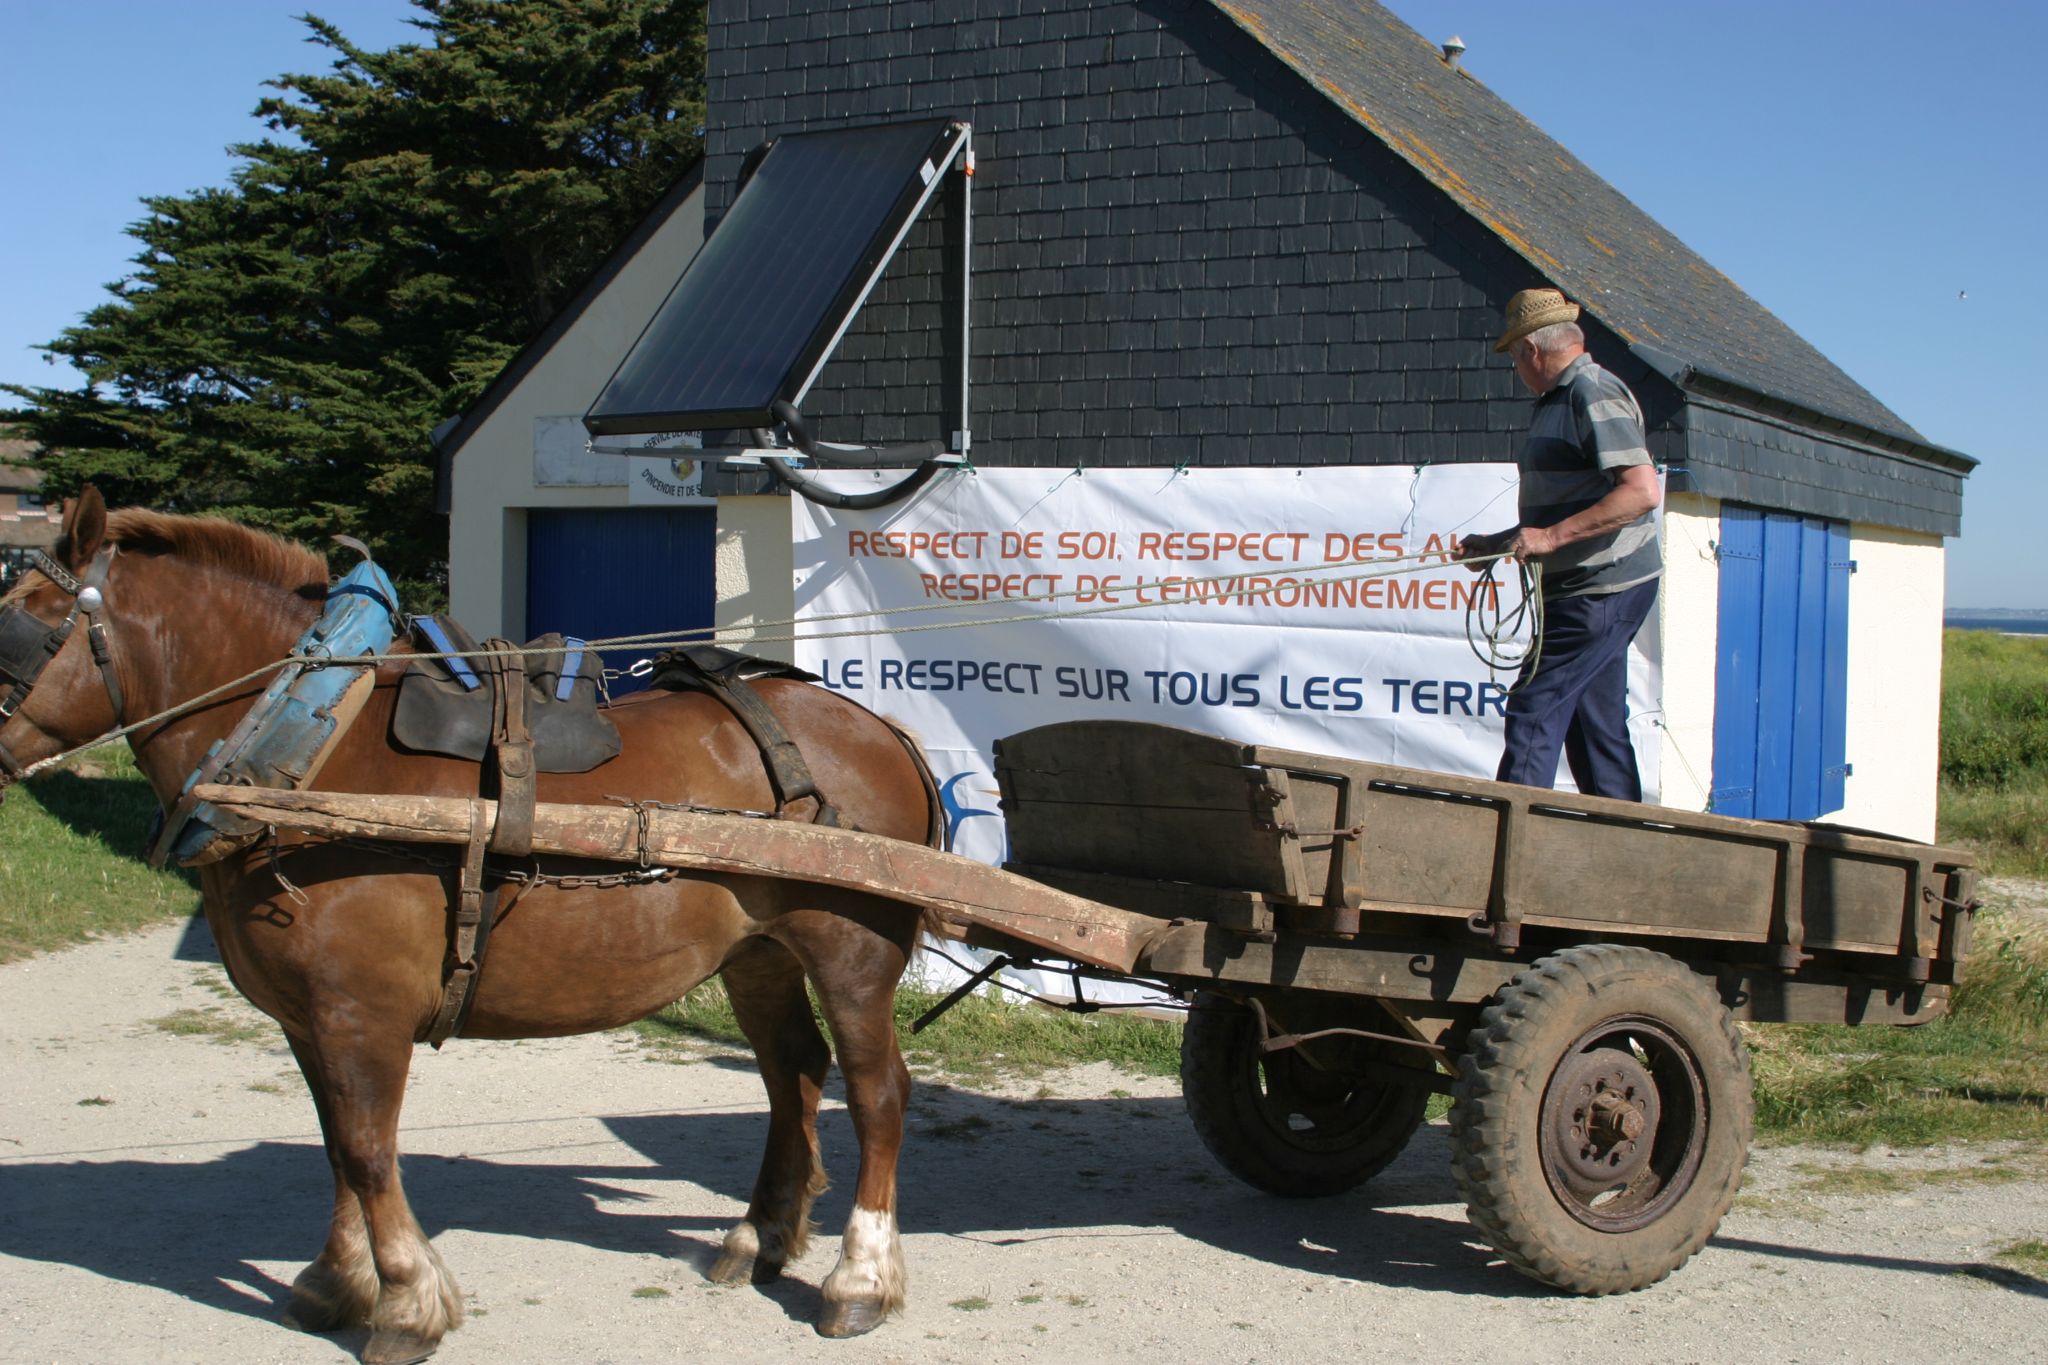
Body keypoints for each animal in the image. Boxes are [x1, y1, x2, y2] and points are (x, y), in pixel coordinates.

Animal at [0, 489, 943, 1363]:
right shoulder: (307, 1019)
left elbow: (367, 1149)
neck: (310, 750)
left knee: (876, 1091)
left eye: (23, 623)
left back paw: (859, 1277)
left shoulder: (361, 1014)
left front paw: (407, 1300)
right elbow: (336, 1147)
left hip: (852, 954)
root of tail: (880, 727)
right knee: (793, 1074)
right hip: (759, 956)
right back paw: (760, 1235)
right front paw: (338, 1279)